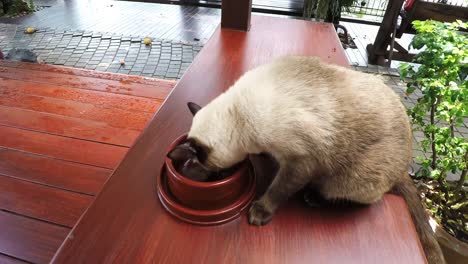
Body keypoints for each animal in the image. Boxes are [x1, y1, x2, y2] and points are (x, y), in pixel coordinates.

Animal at [169, 55, 446, 264]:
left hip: (348, 180)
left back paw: (314, 197)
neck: (239, 116)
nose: (213, 175)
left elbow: (278, 189)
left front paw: (261, 211)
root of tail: (404, 166)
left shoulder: (300, 162)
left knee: (352, 197)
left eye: (216, 174)